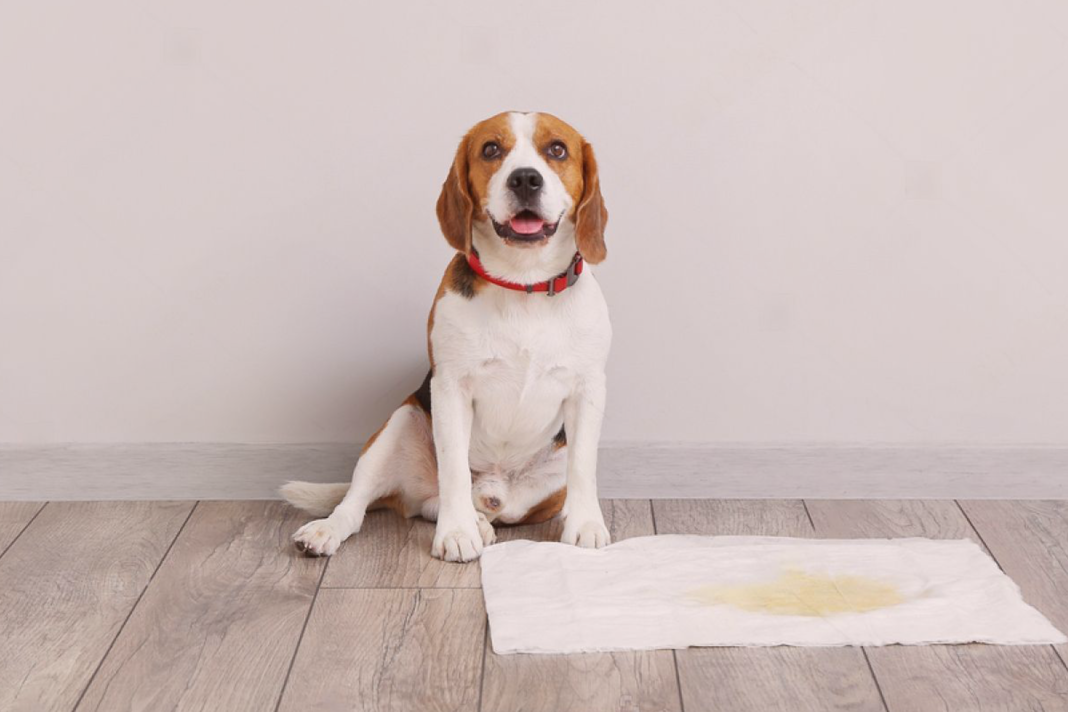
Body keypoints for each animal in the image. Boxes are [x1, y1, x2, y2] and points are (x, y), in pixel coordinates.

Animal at [279, 112, 610, 563]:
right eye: (491, 149)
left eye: (557, 149)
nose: (525, 179)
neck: (522, 284)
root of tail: (493, 493)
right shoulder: (450, 387)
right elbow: (453, 470)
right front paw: (456, 534)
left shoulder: (587, 390)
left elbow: (583, 467)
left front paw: (587, 526)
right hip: (400, 423)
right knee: (365, 502)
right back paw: (331, 530)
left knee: (448, 504)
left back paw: (482, 521)